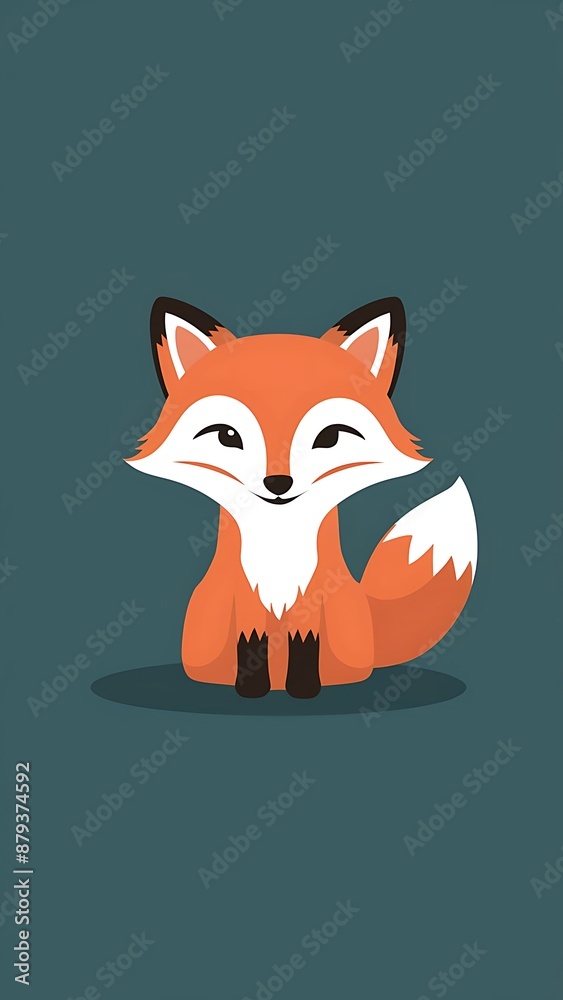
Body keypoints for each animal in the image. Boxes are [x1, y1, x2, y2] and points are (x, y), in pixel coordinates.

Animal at [125, 295, 477, 699]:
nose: (278, 483)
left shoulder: (313, 595)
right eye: (227, 435)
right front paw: (251, 689)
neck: (280, 548)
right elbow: (252, 642)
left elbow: (304, 643)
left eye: (330, 436)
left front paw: (305, 688)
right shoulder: (244, 595)